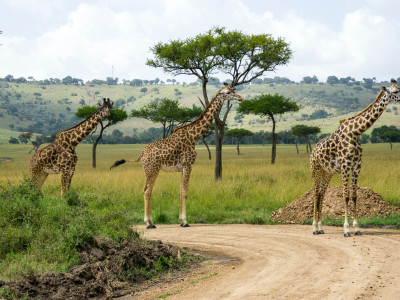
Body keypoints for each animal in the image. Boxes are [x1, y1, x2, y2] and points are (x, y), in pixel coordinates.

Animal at [310, 79, 400, 237]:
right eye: (395, 91)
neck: (355, 132)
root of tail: (312, 151)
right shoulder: (345, 166)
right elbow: (345, 196)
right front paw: (346, 229)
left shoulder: (357, 166)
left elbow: (354, 196)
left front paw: (357, 228)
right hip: (316, 169)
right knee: (315, 194)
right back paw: (314, 228)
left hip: (327, 173)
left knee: (321, 194)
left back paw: (321, 228)